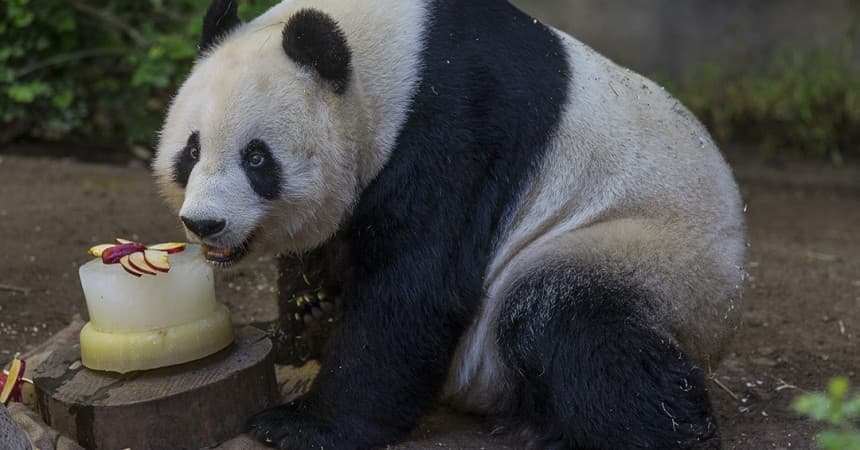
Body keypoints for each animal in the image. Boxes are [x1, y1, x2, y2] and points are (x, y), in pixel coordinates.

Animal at [153, 0, 746, 448]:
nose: (205, 223)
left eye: (257, 158)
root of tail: (718, 326)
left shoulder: (456, 128)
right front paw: (292, 329)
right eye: (191, 150)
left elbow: (416, 287)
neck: (396, 57)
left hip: (643, 253)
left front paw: (300, 425)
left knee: (571, 326)